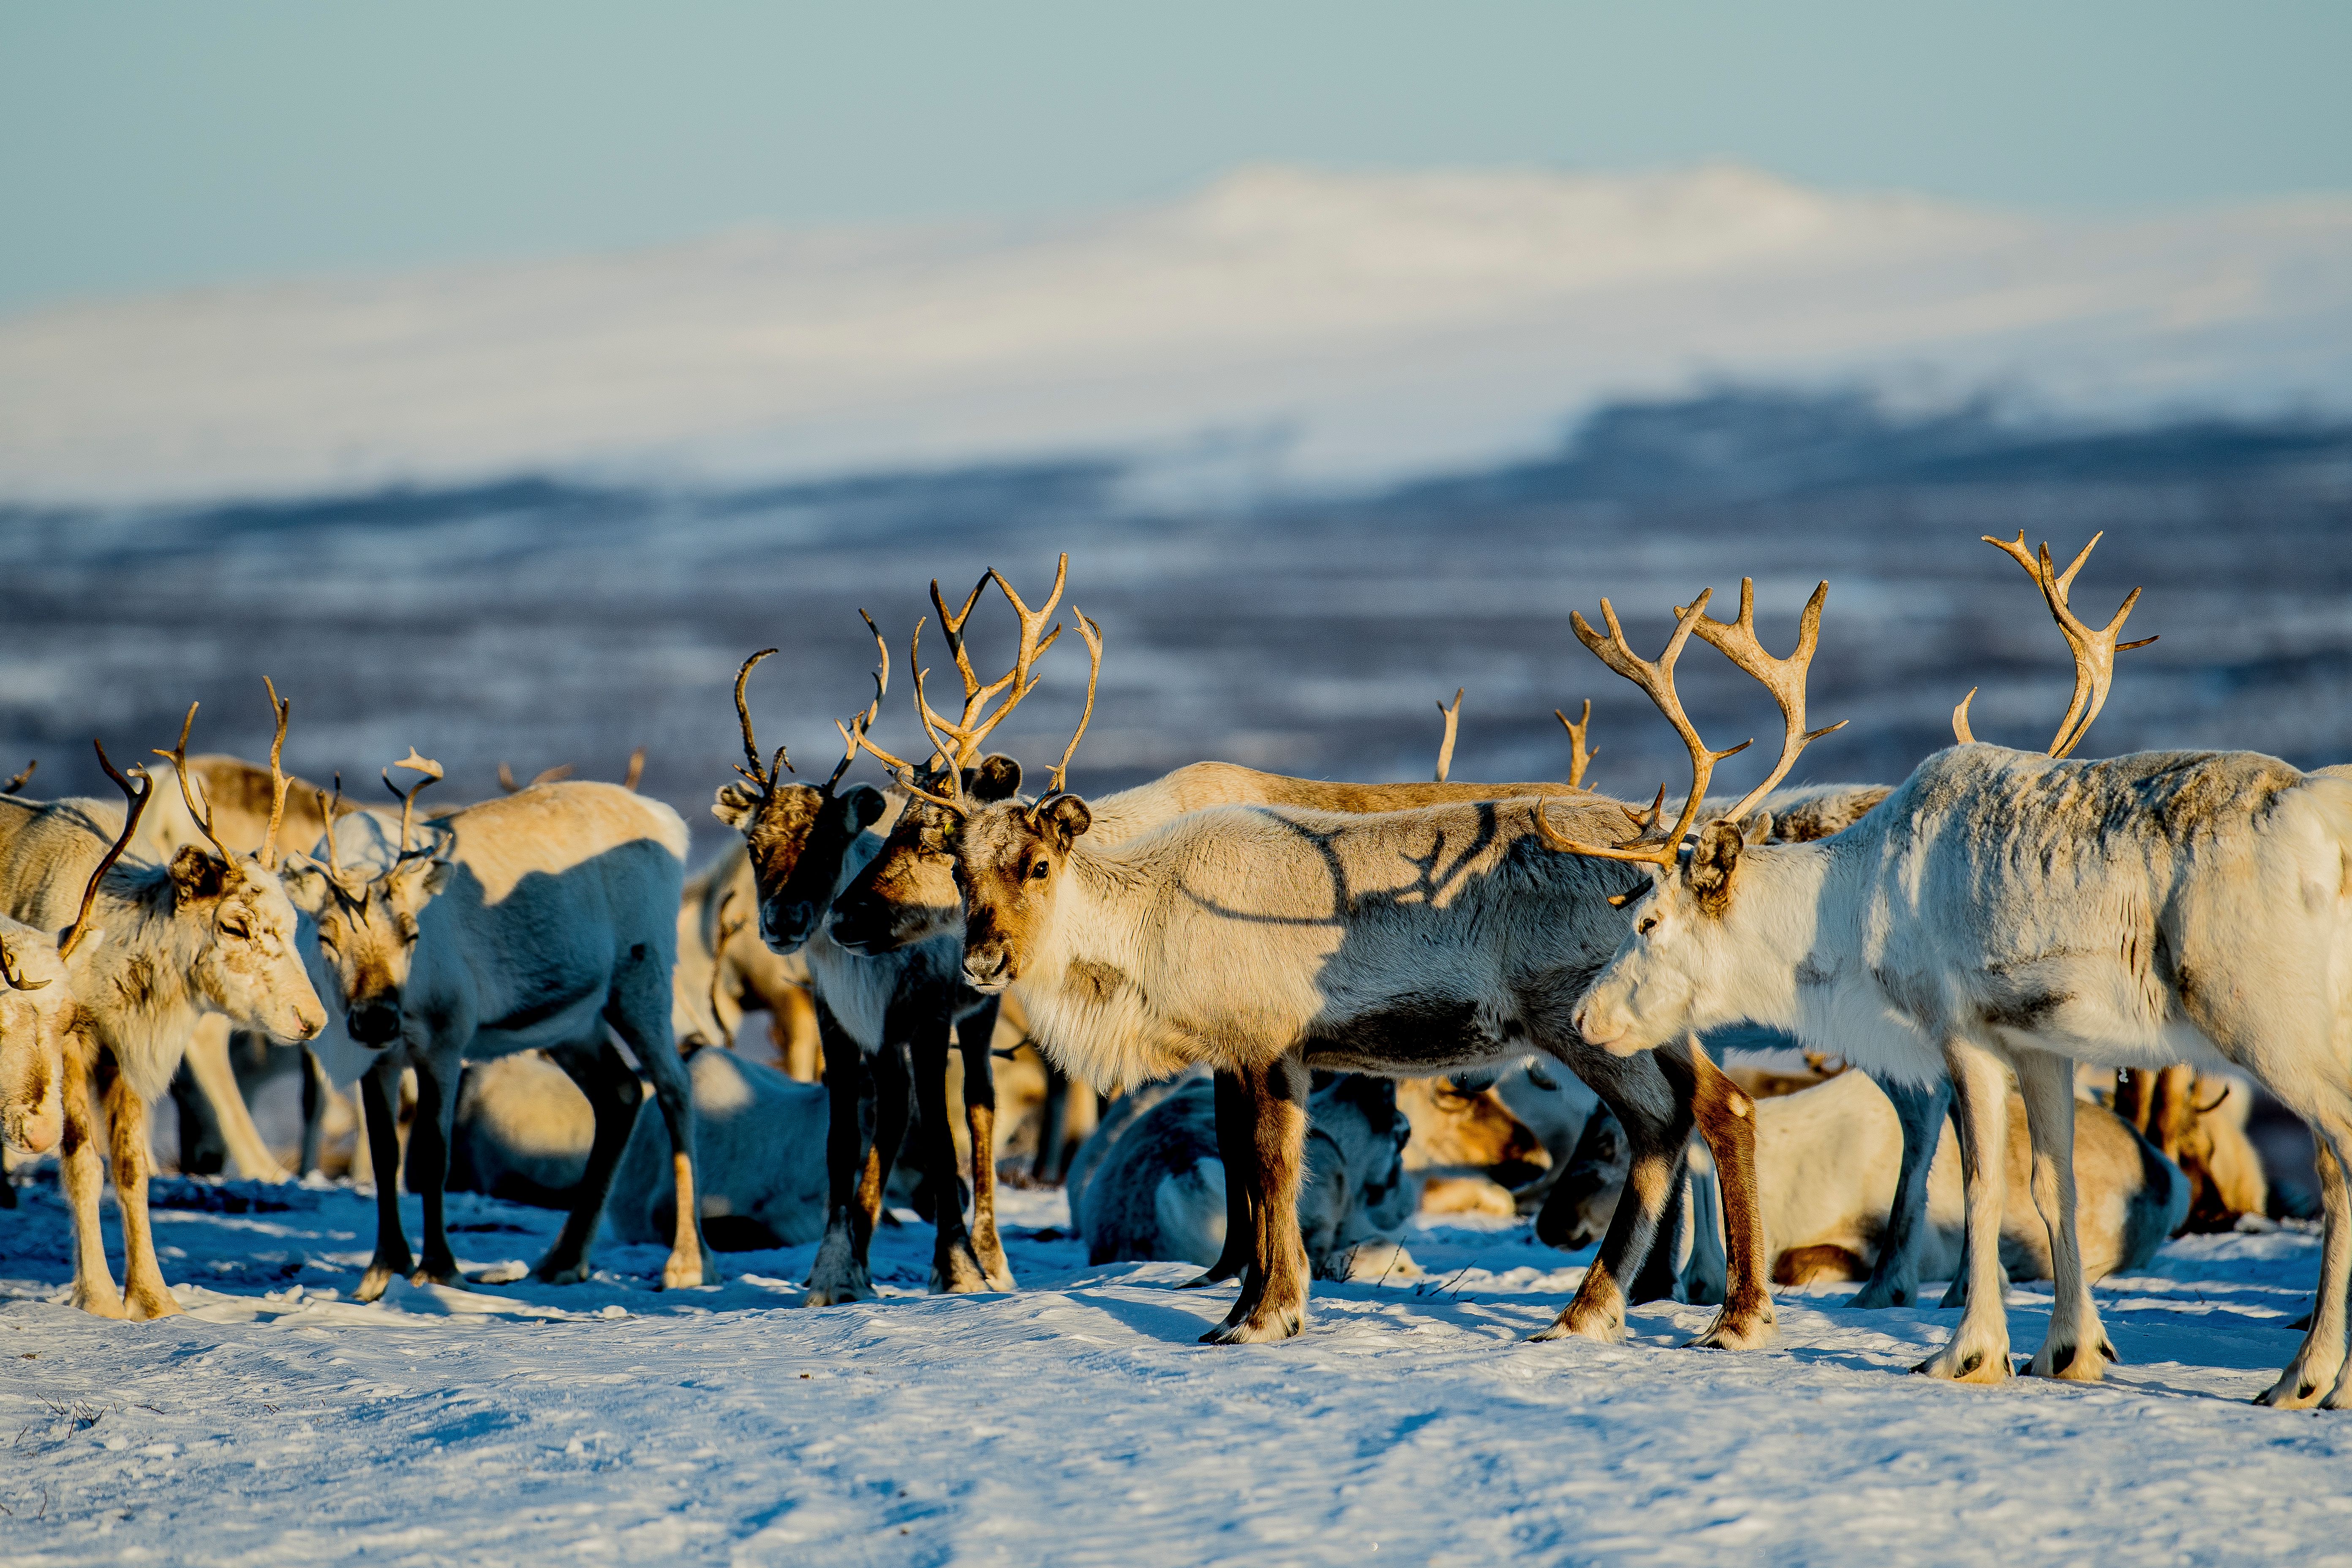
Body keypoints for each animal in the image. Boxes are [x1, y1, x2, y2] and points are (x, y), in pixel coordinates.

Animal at [0, 695, 328, 1318]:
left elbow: (133, 1169)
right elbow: (84, 1164)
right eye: (236, 925)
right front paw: (99, 1297)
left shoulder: (124, 1053)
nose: (312, 1019)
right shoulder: (70, 1048)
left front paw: (155, 1300)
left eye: (294, 921)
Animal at [281, 755, 717, 1299]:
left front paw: (438, 1268)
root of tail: (668, 820)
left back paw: (687, 1263)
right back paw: (563, 1259)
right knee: (620, 1092)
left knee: (674, 1086)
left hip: (641, 979)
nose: (378, 1016)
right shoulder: (378, 1059)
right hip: (575, 1022)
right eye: (326, 936)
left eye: (412, 932)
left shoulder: (444, 1038)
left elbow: (433, 1151)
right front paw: (382, 1270)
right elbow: (385, 1154)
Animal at [1542, 554, 2352, 1400]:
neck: (1850, 903)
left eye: (1647, 922)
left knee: (2340, 1157)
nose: (1585, 1017)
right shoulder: (2044, 1045)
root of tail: (2330, 827)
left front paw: (1968, 1352)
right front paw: (2071, 1351)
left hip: (2266, 1020)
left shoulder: (1961, 1031)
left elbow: (1979, 1185)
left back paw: (2307, 1377)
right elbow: (2052, 1185)